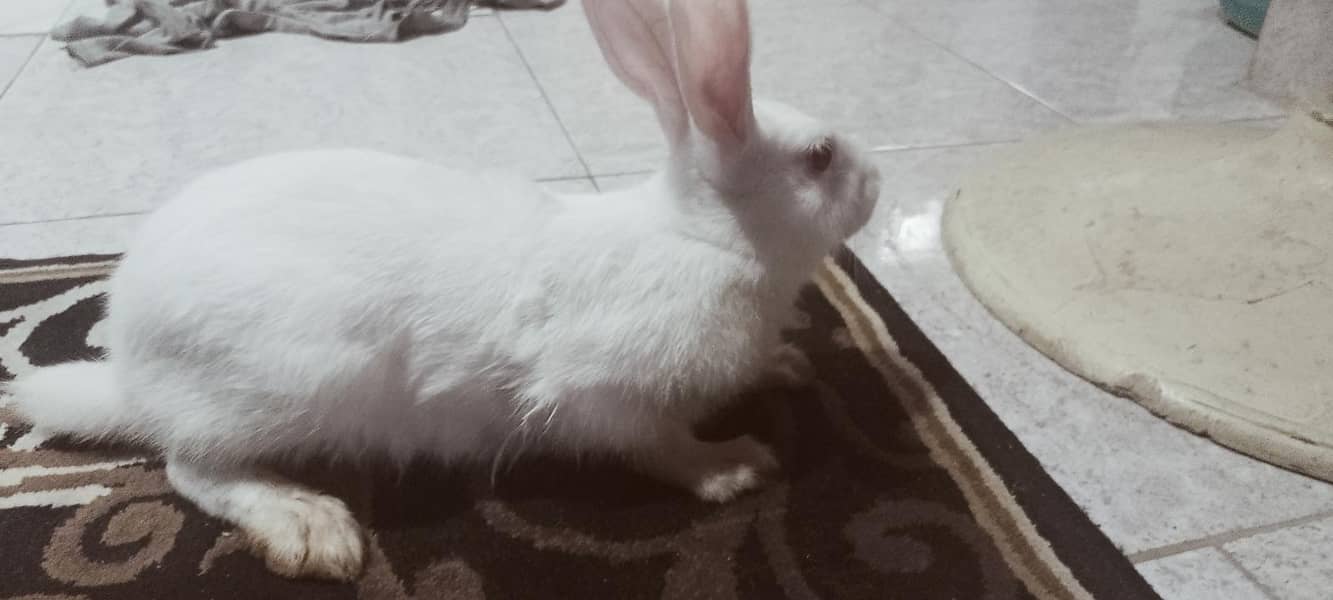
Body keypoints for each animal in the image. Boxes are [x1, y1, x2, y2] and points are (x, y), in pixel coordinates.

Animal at [7, 0, 880, 582]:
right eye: (820, 158)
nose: (877, 185)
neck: (703, 240)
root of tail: (130, 375)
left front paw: (787, 365)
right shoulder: (605, 396)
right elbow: (659, 446)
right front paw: (734, 466)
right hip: (286, 387)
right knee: (192, 469)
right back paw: (310, 526)